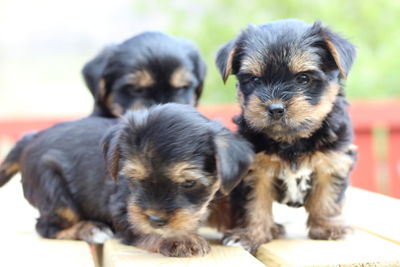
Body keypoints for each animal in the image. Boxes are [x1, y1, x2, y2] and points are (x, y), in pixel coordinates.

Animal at [0, 104, 253, 258]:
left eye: (188, 183)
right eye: (134, 179)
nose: (155, 219)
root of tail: (31, 138)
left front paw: (246, 231)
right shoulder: (124, 208)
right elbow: (140, 227)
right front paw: (179, 239)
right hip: (53, 190)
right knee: (47, 226)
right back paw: (90, 228)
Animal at [216, 18, 356, 253]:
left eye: (303, 78)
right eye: (255, 79)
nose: (275, 108)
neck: (291, 140)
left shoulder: (331, 162)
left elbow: (327, 197)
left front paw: (328, 227)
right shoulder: (256, 171)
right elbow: (255, 203)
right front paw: (251, 235)